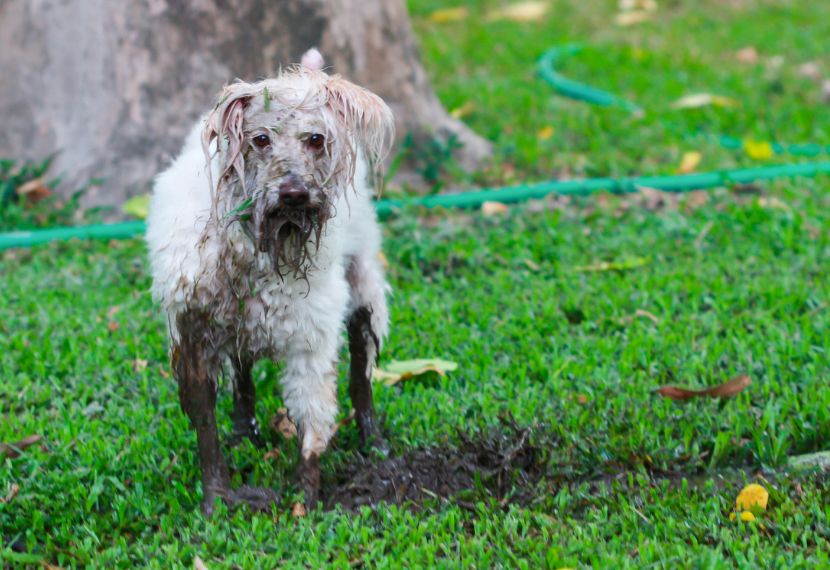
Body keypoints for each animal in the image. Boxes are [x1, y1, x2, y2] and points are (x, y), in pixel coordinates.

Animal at [145, 47, 394, 510]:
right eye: (260, 139)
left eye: (315, 139)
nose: (295, 193)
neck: (258, 247)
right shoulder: (191, 335)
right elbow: (205, 426)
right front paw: (216, 501)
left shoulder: (310, 340)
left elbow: (313, 419)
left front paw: (306, 501)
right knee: (242, 371)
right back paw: (245, 433)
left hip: (362, 280)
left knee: (361, 365)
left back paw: (373, 440)